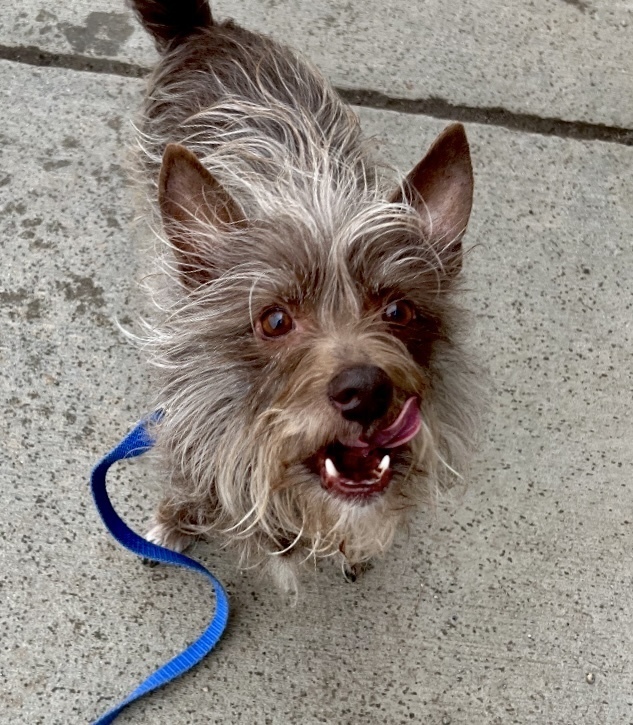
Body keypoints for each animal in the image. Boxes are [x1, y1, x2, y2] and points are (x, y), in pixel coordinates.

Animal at [127, 0, 474, 592]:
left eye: (398, 310)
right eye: (274, 320)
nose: (367, 390)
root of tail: (206, 29)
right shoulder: (188, 391)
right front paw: (176, 520)